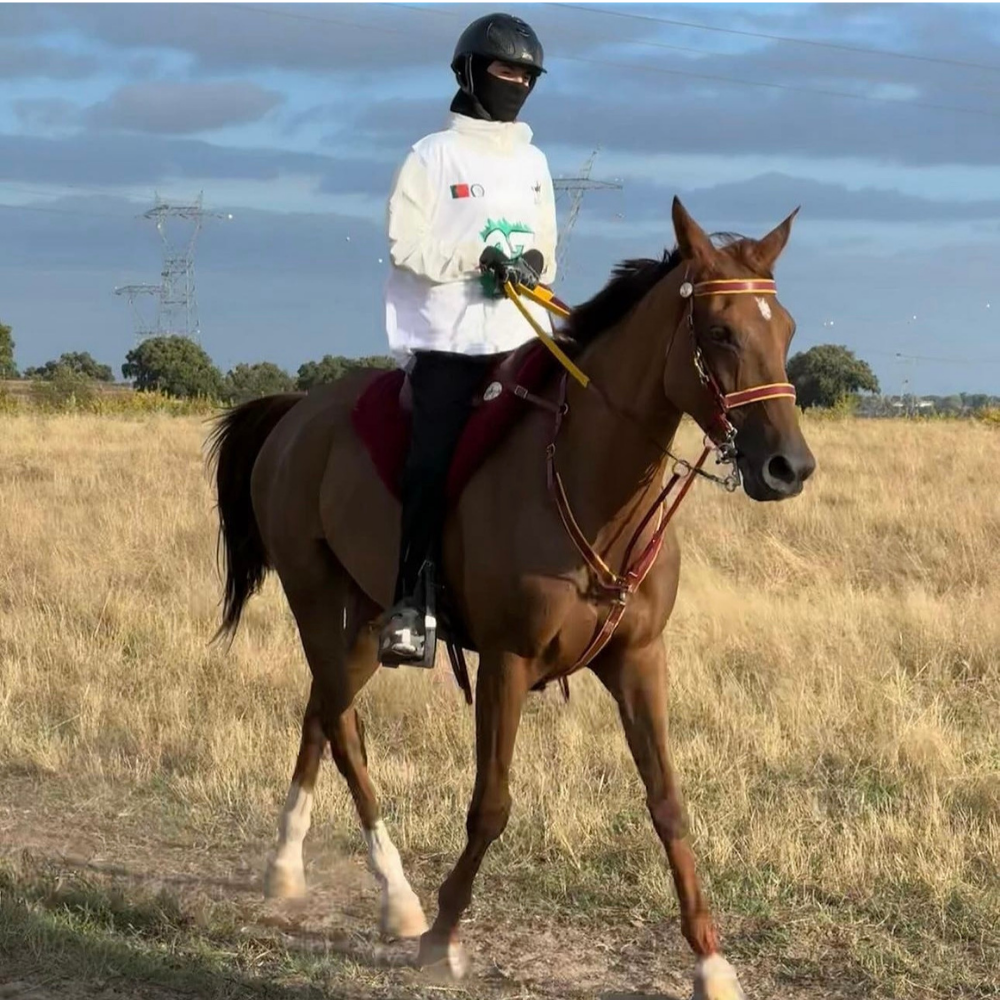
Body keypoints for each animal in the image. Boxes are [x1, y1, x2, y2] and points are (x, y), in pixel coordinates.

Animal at [207, 198, 815, 1000]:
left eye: (787, 330)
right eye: (718, 331)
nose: (788, 467)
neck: (590, 487)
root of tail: (298, 413)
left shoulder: (639, 660)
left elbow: (668, 804)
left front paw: (711, 963)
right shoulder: (507, 662)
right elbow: (490, 805)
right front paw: (442, 938)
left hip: (365, 618)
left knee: (321, 714)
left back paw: (288, 867)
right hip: (313, 598)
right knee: (339, 725)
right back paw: (397, 897)